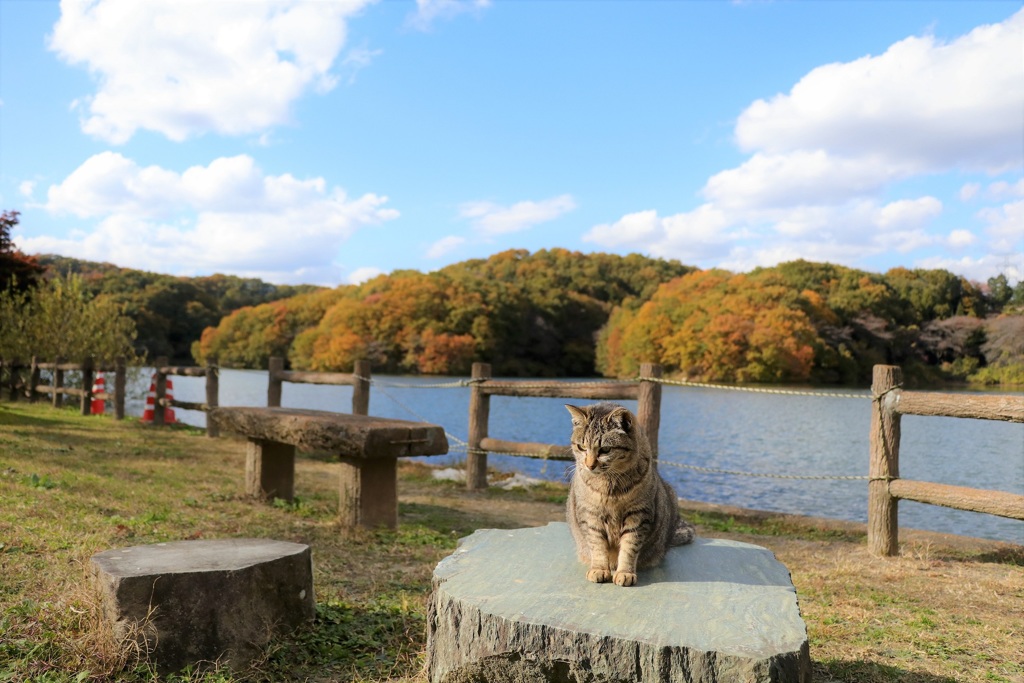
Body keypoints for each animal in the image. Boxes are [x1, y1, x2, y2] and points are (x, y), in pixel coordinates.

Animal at [561, 401, 696, 589]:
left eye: (605, 449)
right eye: (581, 447)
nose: (589, 465)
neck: (609, 487)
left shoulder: (638, 515)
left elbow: (629, 547)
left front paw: (625, 572)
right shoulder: (590, 515)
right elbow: (597, 545)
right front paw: (599, 569)